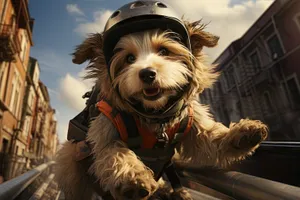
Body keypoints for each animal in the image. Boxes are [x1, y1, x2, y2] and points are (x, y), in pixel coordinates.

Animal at [55, 1, 268, 200]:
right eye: (129, 58)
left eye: (164, 51)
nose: (147, 73)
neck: (155, 117)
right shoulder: (104, 129)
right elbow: (114, 150)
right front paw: (133, 178)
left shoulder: (192, 123)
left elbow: (211, 138)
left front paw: (241, 134)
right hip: (70, 159)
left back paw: (167, 190)